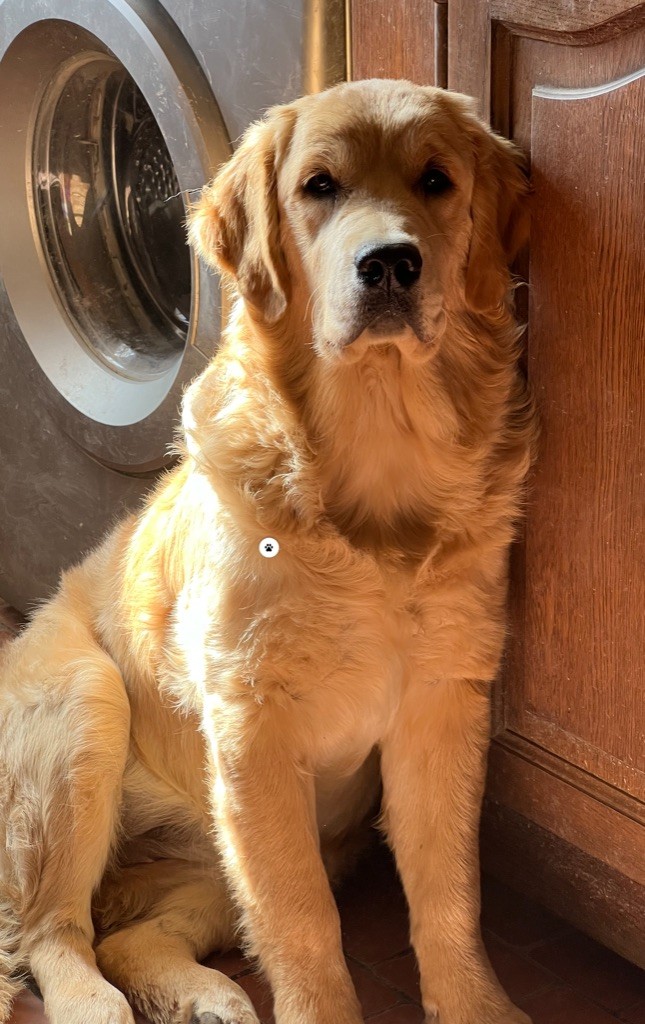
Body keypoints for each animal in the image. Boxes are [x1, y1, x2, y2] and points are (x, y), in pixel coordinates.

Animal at [0, 81, 536, 1024]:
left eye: (436, 180)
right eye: (319, 186)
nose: (389, 265)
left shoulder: (443, 703)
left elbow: (449, 894)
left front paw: (474, 1005)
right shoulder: (253, 729)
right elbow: (302, 917)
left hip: (204, 859)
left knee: (128, 936)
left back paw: (207, 996)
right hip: (86, 705)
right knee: (52, 932)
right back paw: (97, 1004)